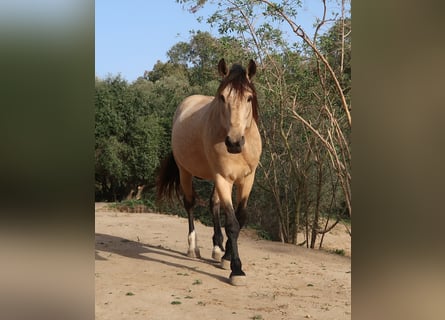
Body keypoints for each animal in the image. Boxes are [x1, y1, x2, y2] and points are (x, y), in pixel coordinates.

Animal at [155, 58, 260, 286]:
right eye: (222, 97)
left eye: (249, 98)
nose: (234, 142)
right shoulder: (223, 179)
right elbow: (232, 223)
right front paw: (236, 269)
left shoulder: (247, 179)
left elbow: (240, 217)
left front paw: (226, 256)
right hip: (185, 172)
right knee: (190, 204)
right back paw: (193, 247)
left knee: (213, 205)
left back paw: (217, 248)